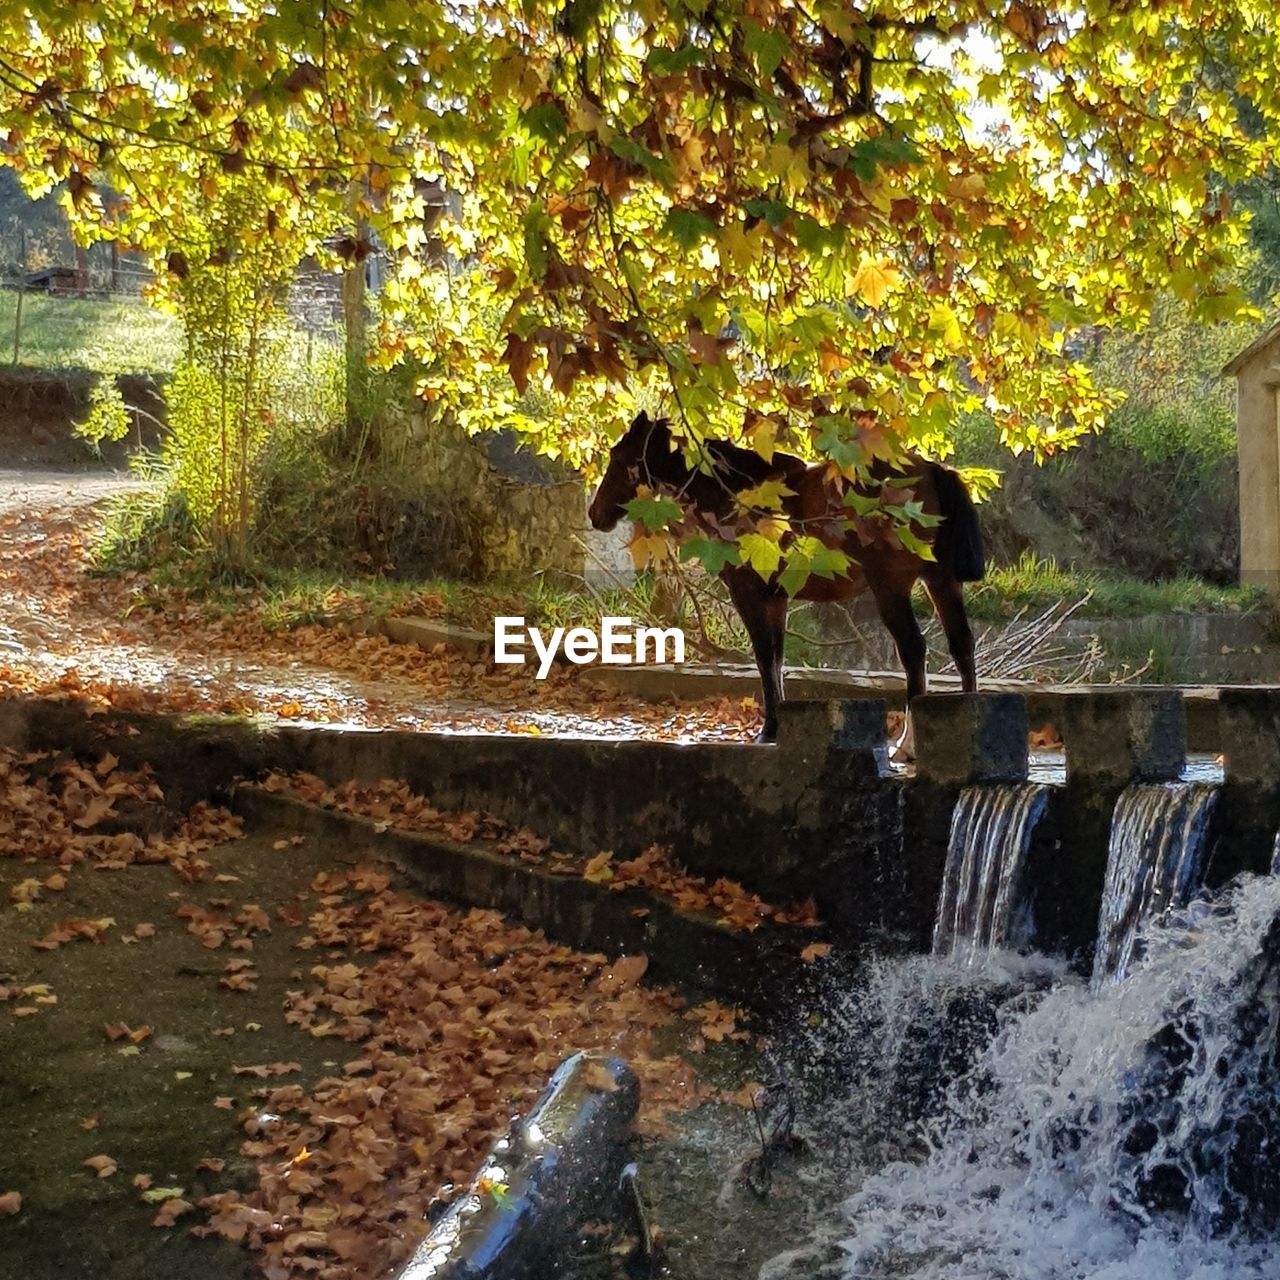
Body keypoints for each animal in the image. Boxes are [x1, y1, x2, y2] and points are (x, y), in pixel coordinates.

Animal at [586, 414, 983, 747]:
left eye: (619, 457)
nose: (595, 514)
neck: (732, 491)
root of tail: (932, 470)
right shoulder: (777, 599)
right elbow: (776, 659)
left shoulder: (748, 594)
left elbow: (764, 659)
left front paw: (769, 728)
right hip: (941, 582)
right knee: (961, 644)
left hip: (892, 589)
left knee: (914, 651)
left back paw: (906, 746)